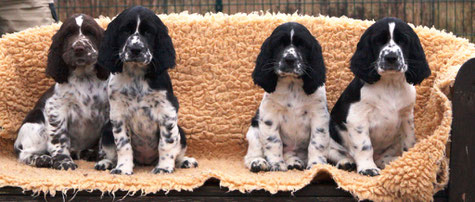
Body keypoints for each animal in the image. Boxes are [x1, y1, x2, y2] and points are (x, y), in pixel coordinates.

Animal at [13, 13, 110, 170]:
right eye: (68, 34)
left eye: (91, 33)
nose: (79, 48)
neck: (84, 77)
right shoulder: (57, 109)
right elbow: (59, 138)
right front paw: (64, 162)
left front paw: (105, 160)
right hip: (36, 124)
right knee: (25, 153)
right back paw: (42, 159)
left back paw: (88, 153)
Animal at [94, 5, 198, 174]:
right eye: (125, 31)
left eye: (148, 32)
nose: (135, 49)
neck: (137, 75)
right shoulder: (118, 115)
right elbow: (123, 145)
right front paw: (123, 169)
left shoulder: (166, 111)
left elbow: (166, 144)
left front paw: (163, 168)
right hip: (106, 131)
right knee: (111, 152)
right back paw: (105, 163)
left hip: (181, 132)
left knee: (177, 150)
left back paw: (185, 161)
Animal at [245, 22, 330, 172]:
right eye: (279, 44)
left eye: (302, 45)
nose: (290, 59)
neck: (292, 85)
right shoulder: (270, 115)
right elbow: (274, 141)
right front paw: (277, 165)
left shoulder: (319, 115)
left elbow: (317, 142)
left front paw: (316, 165)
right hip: (254, 129)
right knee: (252, 153)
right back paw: (258, 163)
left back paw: (294, 162)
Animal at [330, 17, 434, 175]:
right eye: (378, 41)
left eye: (403, 41)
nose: (391, 57)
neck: (390, 84)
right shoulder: (357, 117)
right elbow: (365, 146)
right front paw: (368, 168)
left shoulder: (406, 116)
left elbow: (409, 140)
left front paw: (408, 160)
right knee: (335, 153)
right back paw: (346, 163)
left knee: (383, 158)